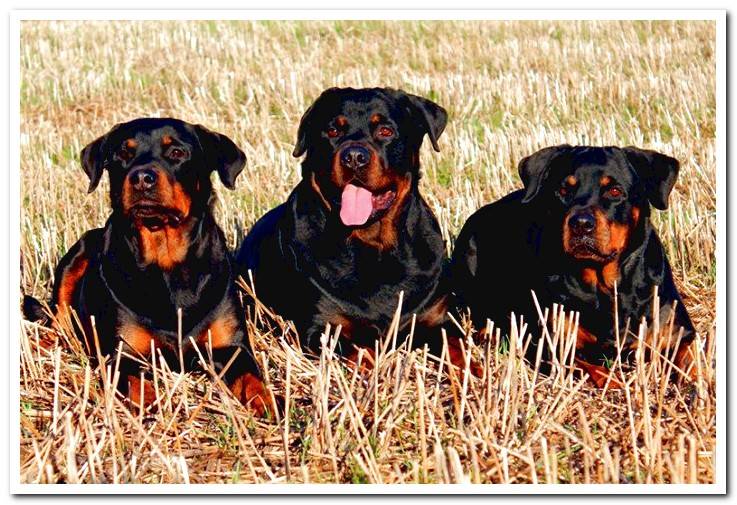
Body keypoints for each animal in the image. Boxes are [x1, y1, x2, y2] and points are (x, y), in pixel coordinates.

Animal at [25, 119, 276, 418]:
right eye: (122, 153)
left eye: (177, 152)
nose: (142, 178)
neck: (166, 261)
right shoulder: (124, 352)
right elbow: (137, 385)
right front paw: (152, 408)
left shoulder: (231, 346)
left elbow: (252, 379)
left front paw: (268, 404)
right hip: (77, 256)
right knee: (59, 321)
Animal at [239, 88, 472, 368]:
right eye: (332, 131)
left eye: (385, 131)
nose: (353, 157)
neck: (373, 247)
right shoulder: (324, 328)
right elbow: (362, 353)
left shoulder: (437, 318)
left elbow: (460, 349)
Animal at [448, 146, 696, 386]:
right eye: (563, 190)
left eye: (615, 191)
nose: (581, 223)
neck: (604, 285)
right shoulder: (554, 343)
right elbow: (592, 369)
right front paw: (616, 383)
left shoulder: (676, 331)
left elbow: (692, 359)